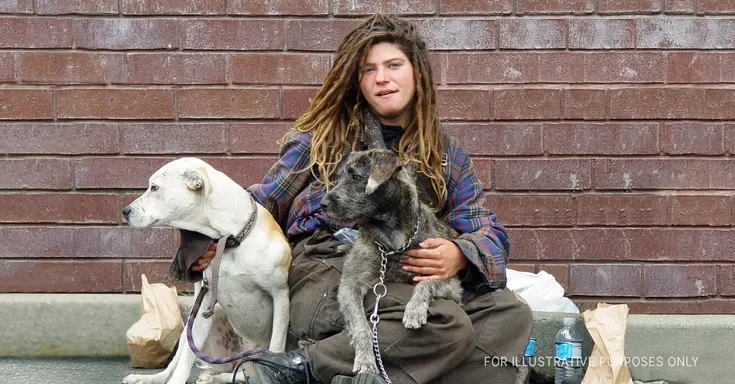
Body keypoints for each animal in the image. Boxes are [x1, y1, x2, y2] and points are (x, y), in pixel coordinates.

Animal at [121, 157, 290, 384]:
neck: (230, 240)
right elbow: (185, 359)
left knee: (243, 371)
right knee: (181, 361)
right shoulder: (203, 304)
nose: (125, 211)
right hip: (199, 320)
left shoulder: (280, 296)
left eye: (154, 187)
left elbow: (277, 346)